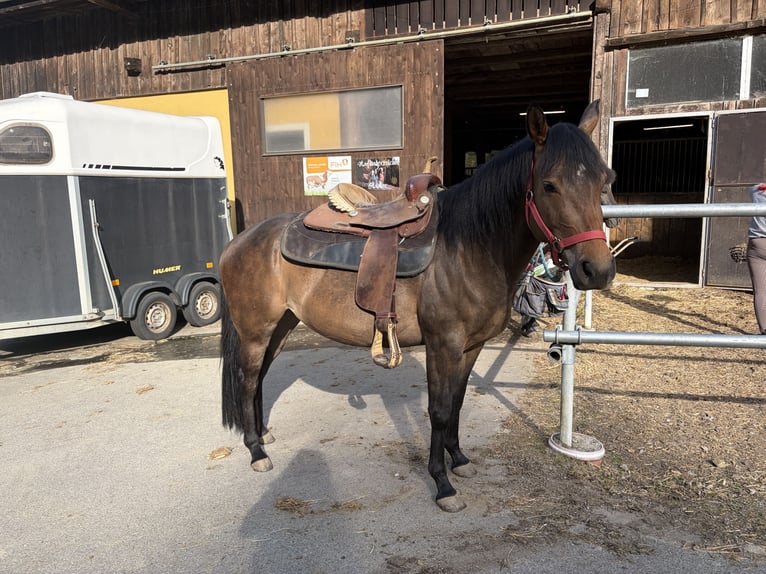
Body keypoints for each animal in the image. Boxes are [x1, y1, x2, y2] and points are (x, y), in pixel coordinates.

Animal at [219, 101, 616, 512]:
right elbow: (439, 411)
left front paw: (459, 460)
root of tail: (239, 241)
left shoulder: (470, 347)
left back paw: (263, 434)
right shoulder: (443, 345)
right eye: (550, 185)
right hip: (255, 332)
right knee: (247, 380)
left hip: (280, 327)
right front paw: (442, 484)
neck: (468, 247)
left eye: (605, 180)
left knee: (259, 379)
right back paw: (256, 451)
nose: (597, 270)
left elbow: (457, 403)